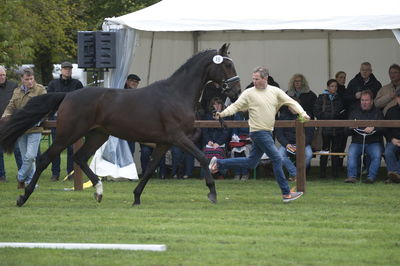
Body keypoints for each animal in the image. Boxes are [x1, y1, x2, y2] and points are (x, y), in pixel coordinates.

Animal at [0, 43, 241, 207]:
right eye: (228, 64)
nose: (236, 91)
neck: (176, 94)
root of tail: (68, 95)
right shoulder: (178, 138)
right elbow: (202, 157)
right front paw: (212, 193)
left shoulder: (164, 143)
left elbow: (149, 170)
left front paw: (136, 197)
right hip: (67, 135)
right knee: (44, 159)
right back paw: (23, 197)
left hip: (98, 135)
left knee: (79, 157)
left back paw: (98, 191)